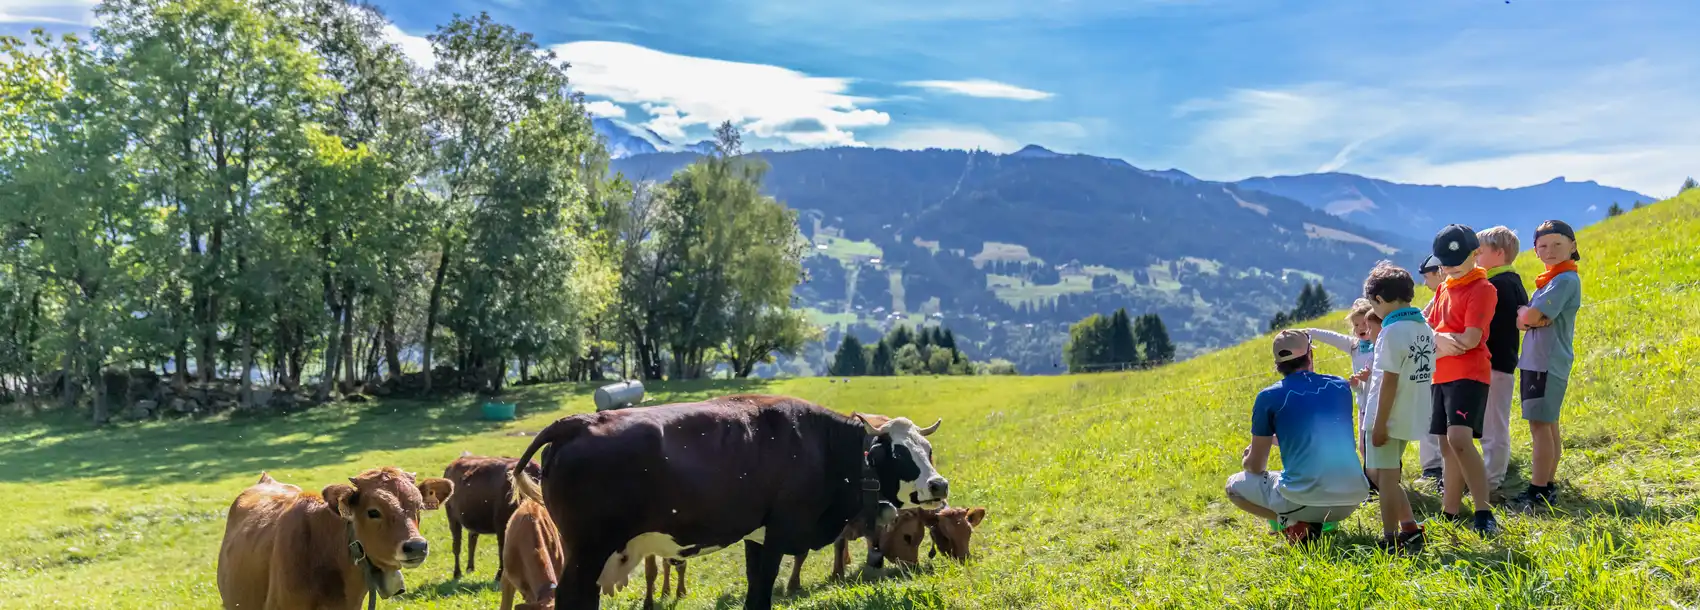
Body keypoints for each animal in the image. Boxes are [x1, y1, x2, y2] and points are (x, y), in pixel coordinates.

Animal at [443, 451, 542, 580]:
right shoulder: (501, 525)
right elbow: (502, 550)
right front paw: (500, 575)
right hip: (452, 518)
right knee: (456, 545)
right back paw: (457, 573)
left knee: (472, 540)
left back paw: (470, 568)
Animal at [510, 394, 950, 610]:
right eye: (899, 454)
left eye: (928, 449)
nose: (939, 485)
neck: (823, 447)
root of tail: (578, 422)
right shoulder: (780, 533)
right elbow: (764, 592)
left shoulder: (757, 537)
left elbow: (756, 593)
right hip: (588, 551)